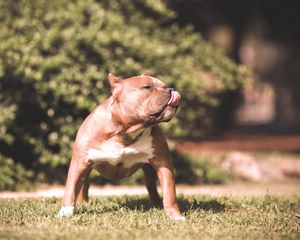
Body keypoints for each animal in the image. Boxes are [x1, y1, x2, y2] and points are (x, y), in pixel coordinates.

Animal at [56, 73, 185, 221]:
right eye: (147, 87)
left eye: (165, 86)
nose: (171, 90)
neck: (124, 132)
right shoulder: (79, 163)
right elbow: (71, 189)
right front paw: (65, 212)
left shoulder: (163, 163)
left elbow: (169, 192)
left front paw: (175, 216)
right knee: (84, 186)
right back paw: (83, 202)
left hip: (149, 170)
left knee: (151, 186)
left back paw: (157, 203)